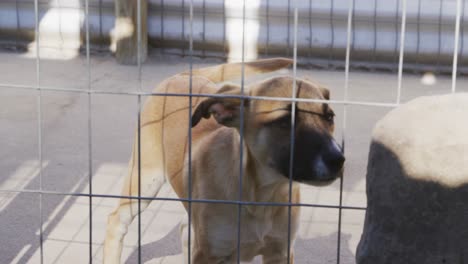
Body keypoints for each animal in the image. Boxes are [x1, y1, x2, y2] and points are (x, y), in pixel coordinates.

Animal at [102, 57, 344, 262]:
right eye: (285, 121)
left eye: (329, 117)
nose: (338, 160)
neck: (261, 197)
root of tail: (181, 75)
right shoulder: (210, 254)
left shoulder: (281, 252)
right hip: (144, 179)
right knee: (116, 221)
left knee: (184, 227)